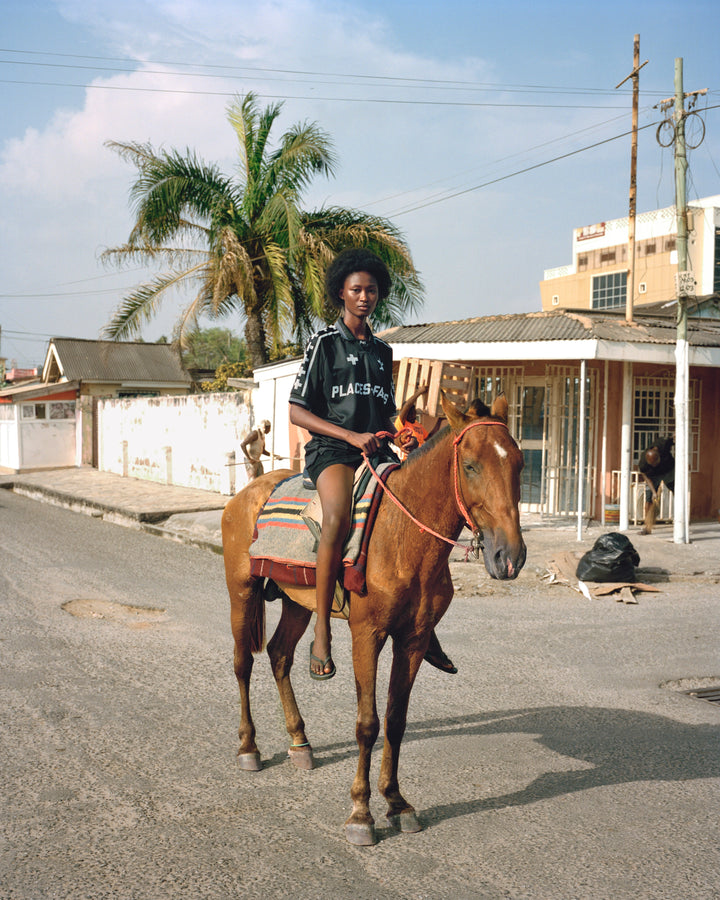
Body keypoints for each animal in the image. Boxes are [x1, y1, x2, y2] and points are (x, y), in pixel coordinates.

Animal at [222, 392, 524, 844]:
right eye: (470, 465)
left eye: (519, 463)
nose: (511, 556)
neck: (402, 537)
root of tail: (247, 492)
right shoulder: (368, 634)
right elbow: (368, 723)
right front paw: (361, 813)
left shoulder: (413, 639)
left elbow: (396, 721)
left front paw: (397, 803)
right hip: (241, 591)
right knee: (243, 663)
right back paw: (248, 748)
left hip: (297, 602)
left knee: (278, 655)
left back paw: (300, 742)